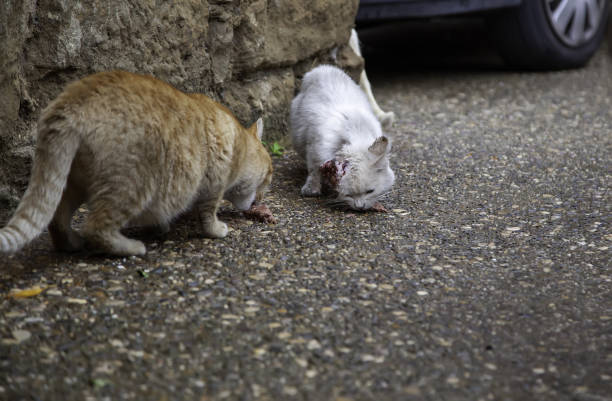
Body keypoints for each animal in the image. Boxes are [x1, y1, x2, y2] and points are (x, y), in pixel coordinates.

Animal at [0, 70, 272, 255]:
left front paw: (160, 227)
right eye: (269, 177)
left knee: (57, 217)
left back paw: (71, 243)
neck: (238, 140)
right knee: (95, 226)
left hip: (73, 182)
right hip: (132, 184)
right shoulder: (213, 185)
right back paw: (130, 247)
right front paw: (216, 230)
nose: (261, 200)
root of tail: (73, 97)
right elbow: (208, 215)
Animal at [290, 65, 394, 209]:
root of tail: (322, 69)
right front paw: (311, 189)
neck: (357, 133)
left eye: (370, 191)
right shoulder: (314, 149)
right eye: (349, 195)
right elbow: (314, 171)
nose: (360, 207)